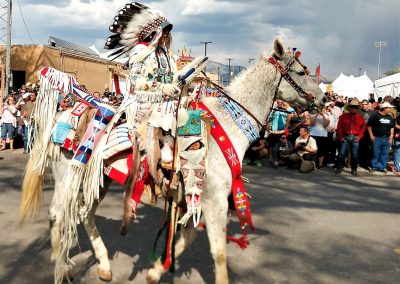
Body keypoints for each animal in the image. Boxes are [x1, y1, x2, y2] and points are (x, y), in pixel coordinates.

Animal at [19, 38, 324, 282]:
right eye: (300, 72)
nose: (321, 100)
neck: (226, 124)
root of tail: (63, 112)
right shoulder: (213, 200)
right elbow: (218, 253)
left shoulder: (194, 196)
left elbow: (187, 238)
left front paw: (155, 272)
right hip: (68, 175)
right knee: (58, 214)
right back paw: (62, 269)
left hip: (100, 180)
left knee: (83, 214)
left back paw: (102, 265)